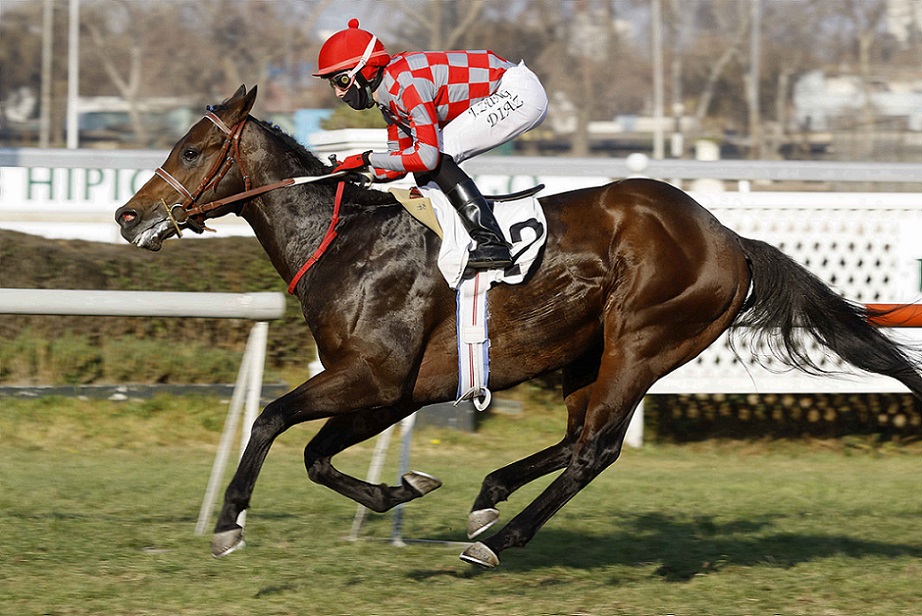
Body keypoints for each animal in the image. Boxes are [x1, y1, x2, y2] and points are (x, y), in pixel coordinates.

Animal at [115, 86, 922, 568]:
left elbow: (271, 419)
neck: (346, 240)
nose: (128, 216)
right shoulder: (393, 390)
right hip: (587, 353)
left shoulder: (372, 375)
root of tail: (731, 239)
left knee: (594, 450)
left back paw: (499, 539)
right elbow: (315, 454)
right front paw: (403, 491)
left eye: (192, 149)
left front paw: (230, 521)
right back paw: (488, 498)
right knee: (574, 440)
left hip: (641, 343)